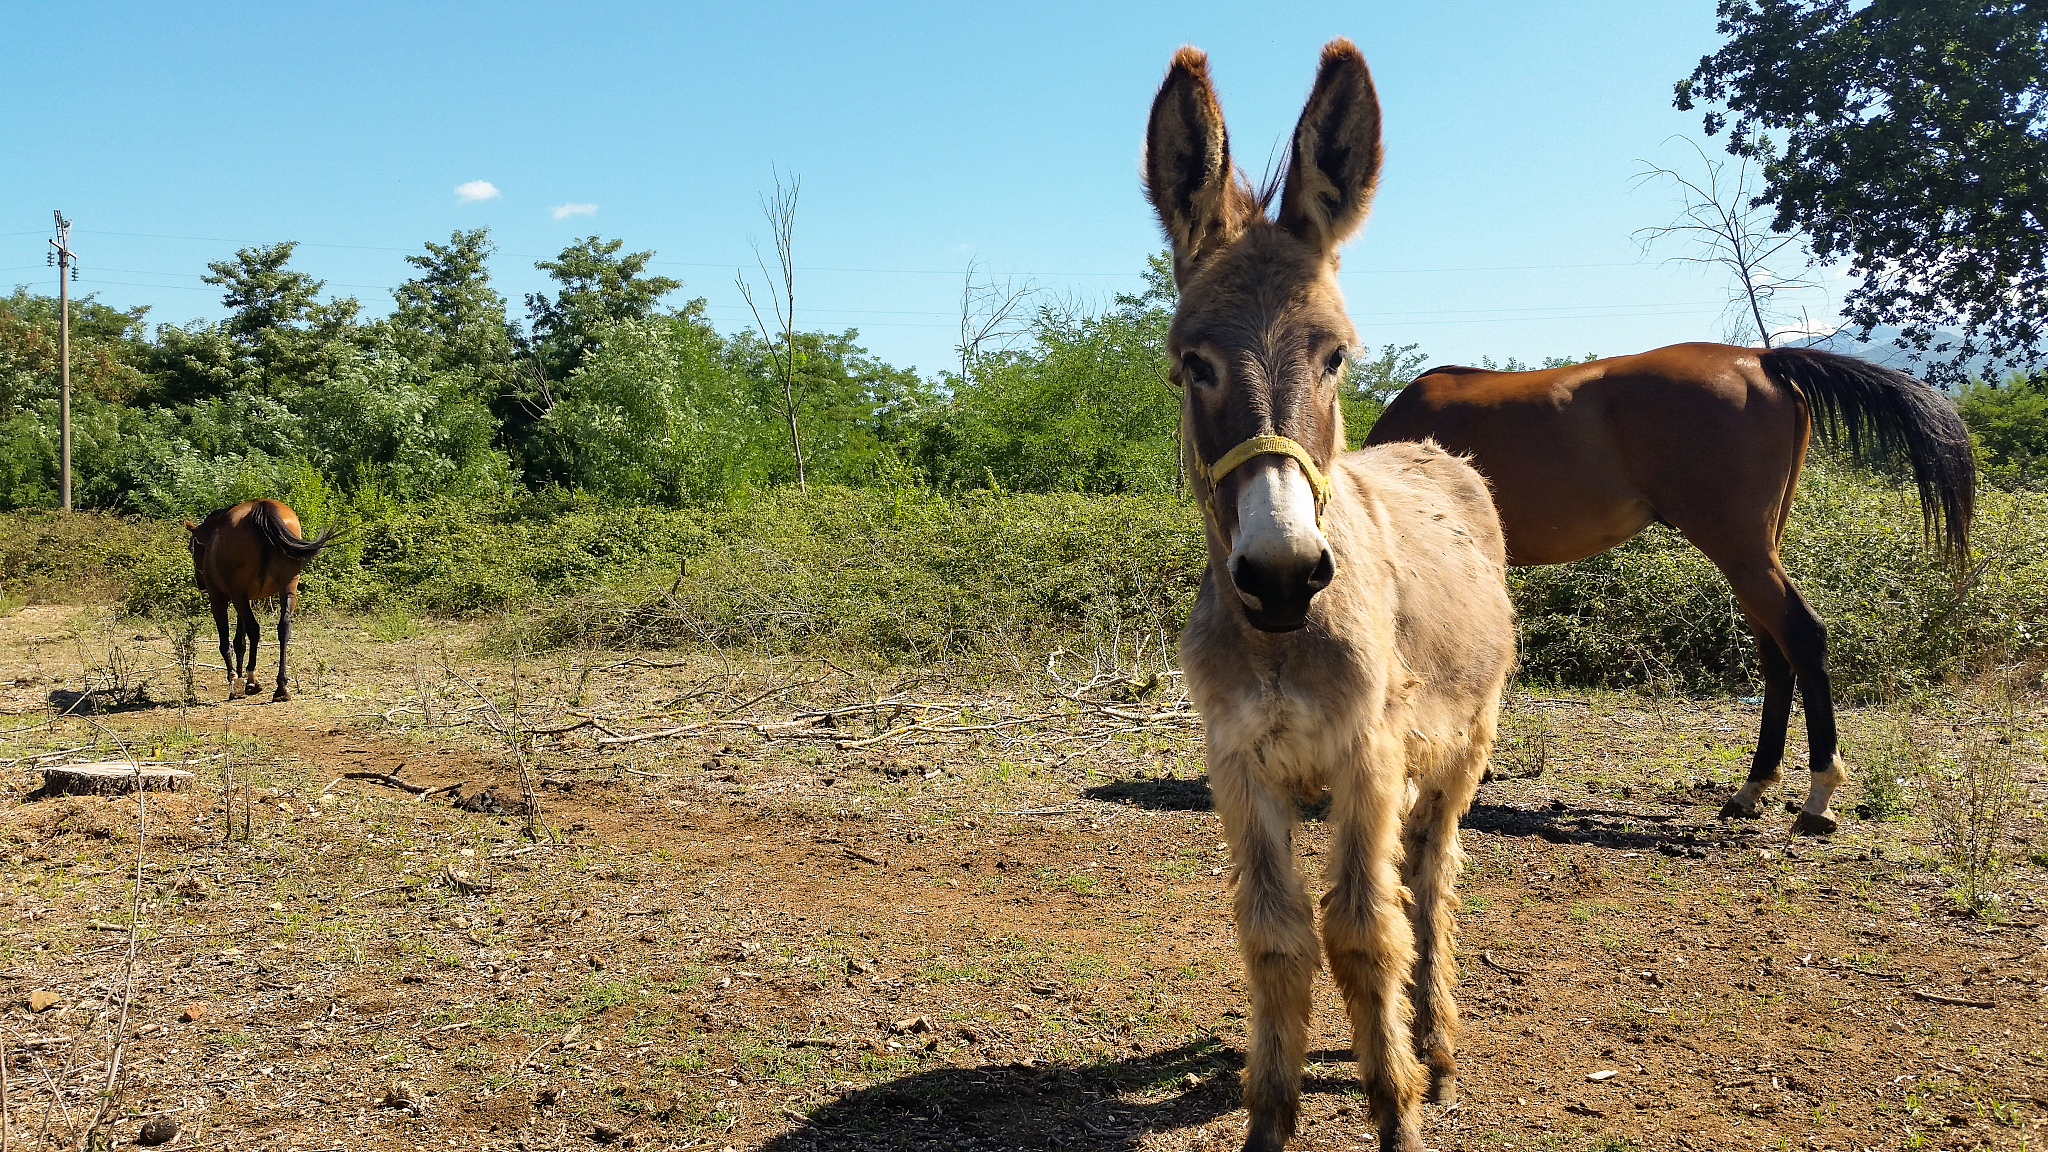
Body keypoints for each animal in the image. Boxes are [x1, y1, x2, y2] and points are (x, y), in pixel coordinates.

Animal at [185, 499, 332, 702]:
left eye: (192, 548)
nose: (200, 583)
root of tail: (262, 505)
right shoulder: (247, 599)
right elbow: (240, 642)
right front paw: (240, 677)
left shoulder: (220, 600)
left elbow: (226, 643)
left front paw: (234, 681)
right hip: (287, 588)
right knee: (283, 628)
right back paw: (281, 687)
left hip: (237, 595)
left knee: (254, 629)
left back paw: (252, 681)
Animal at [1148, 41, 1517, 1152]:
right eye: (1191, 363)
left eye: (1335, 355)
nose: (1279, 574)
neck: (1278, 642)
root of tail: (1432, 453)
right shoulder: (1236, 762)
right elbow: (1274, 936)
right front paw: (1268, 1115)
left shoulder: (1367, 753)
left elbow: (1362, 933)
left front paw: (1395, 1105)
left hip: (1460, 746)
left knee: (1428, 880)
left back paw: (1434, 1044)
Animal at [1365, 343, 1975, 835]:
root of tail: (1760, 359)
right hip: (1754, 553)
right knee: (1775, 651)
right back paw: (1753, 788)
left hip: (1739, 548)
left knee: (1802, 636)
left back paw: (1817, 794)